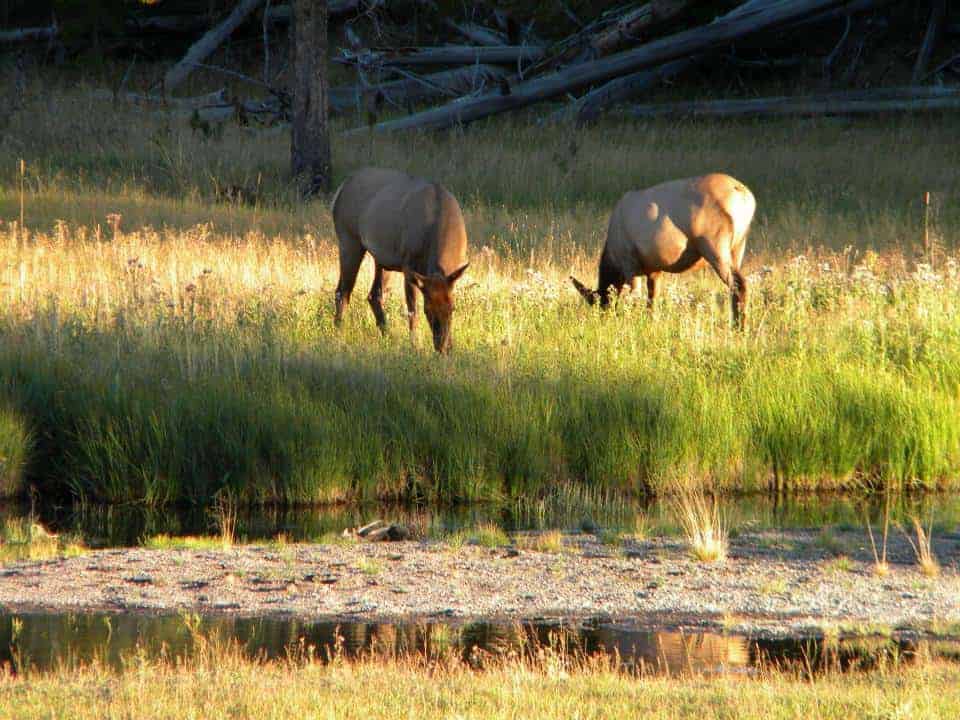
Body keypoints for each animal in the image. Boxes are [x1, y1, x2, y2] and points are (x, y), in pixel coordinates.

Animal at [332, 166, 470, 352]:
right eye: (428, 310)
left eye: (453, 308)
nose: (442, 347)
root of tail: (340, 189)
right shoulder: (408, 264)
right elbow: (412, 310)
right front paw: (415, 346)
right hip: (348, 239)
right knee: (343, 291)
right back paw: (339, 334)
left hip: (382, 258)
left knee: (374, 294)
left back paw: (389, 337)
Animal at [568, 174, 756, 330]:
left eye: (598, 302)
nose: (603, 318)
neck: (613, 259)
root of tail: (746, 197)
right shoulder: (654, 269)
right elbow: (653, 299)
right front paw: (651, 322)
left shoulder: (629, 261)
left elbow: (635, 295)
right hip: (738, 246)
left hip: (714, 244)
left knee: (738, 283)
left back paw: (739, 328)